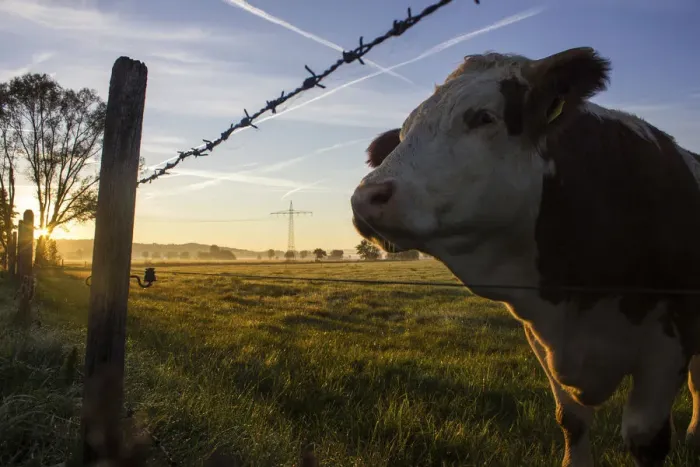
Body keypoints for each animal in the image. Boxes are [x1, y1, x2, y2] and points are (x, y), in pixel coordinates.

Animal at [350, 47, 700, 466]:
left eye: (484, 116)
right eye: (402, 135)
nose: (365, 198)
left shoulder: (669, 343)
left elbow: (646, 437)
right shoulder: (542, 340)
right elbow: (572, 421)